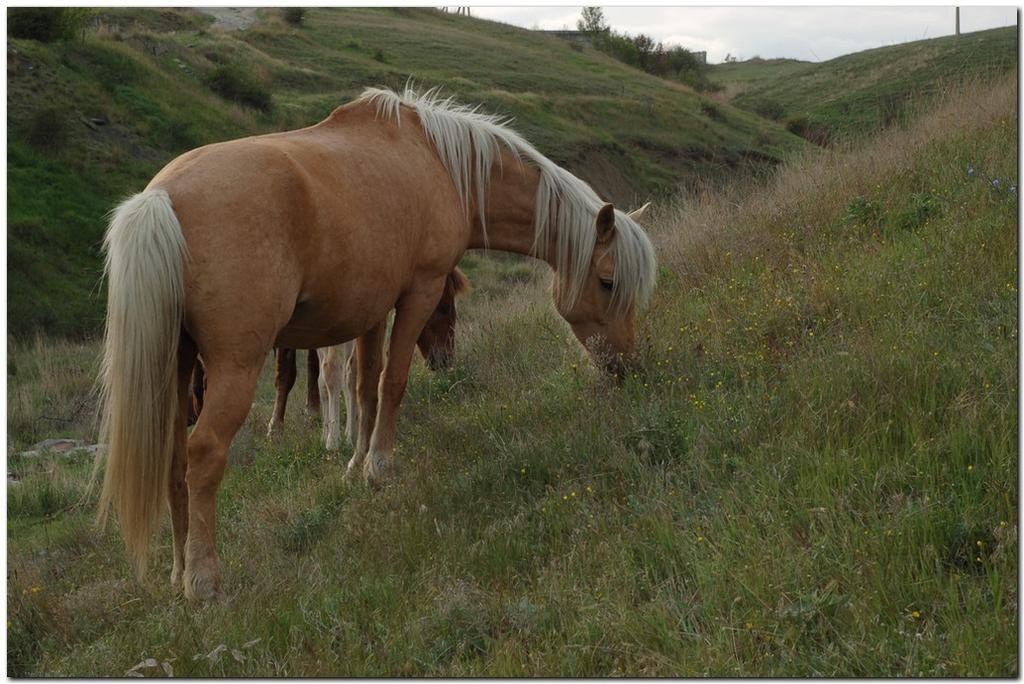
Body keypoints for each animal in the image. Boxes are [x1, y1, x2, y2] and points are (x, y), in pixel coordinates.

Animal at [97, 85, 657, 600]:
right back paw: (203, 580)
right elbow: (394, 382)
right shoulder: (417, 293)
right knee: (204, 454)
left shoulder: (370, 310)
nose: (627, 368)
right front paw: (379, 468)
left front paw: (354, 463)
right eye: (609, 281)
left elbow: (364, 387)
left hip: (176, 367)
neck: (439, 162)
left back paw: (177, 570)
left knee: (173, 459)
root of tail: (163, 198)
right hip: (233, 366)